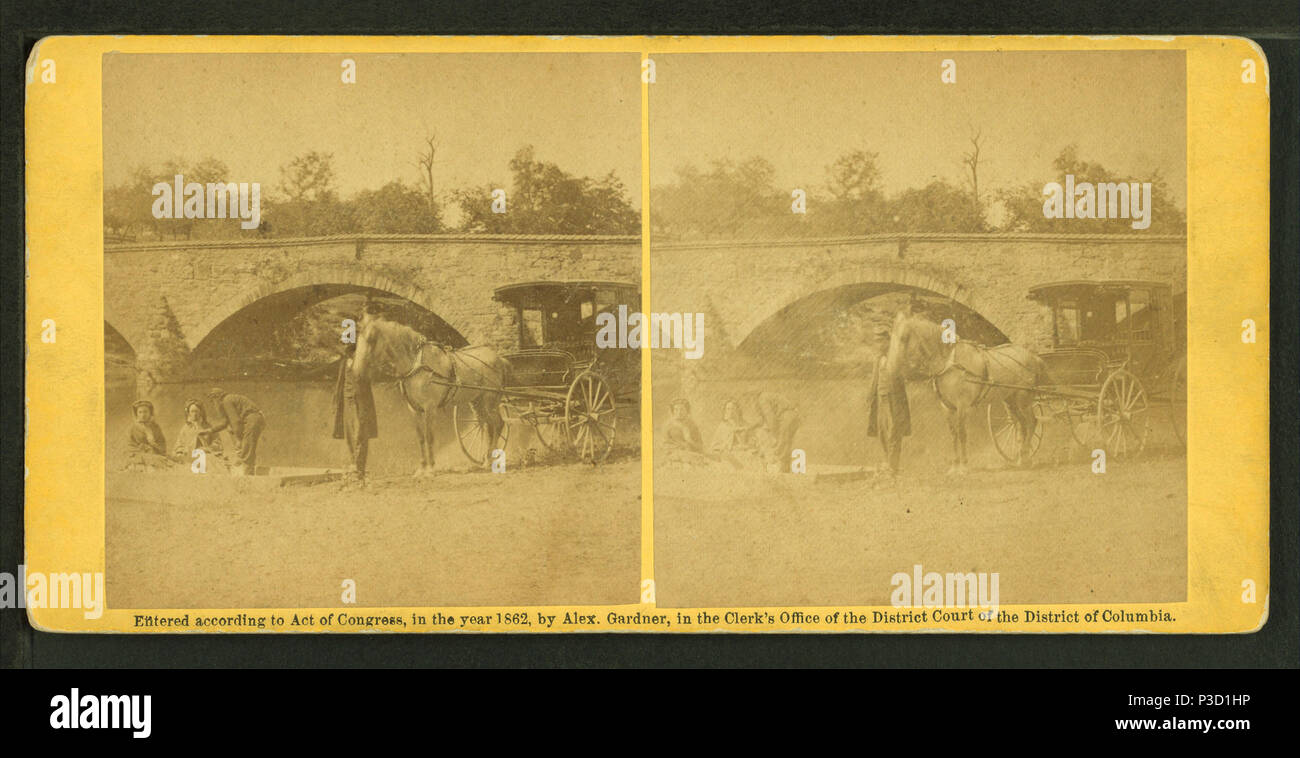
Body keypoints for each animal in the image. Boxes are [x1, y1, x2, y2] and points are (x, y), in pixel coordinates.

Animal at [353, 313, 509, 478]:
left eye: (371, 339)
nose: (356, 371)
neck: (417, 366)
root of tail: (499, 358)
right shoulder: (414, 410)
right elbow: (421, 437)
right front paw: (422, 467)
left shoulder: (430, 408)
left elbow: (429, 436)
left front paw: (431, 468)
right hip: (478, 402)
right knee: (488, 425)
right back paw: (486, 460)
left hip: (490, 400)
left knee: (498, 424)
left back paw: (490, 461)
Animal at [883, 312, 1045, 470]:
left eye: (903, 338)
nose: (890, 367)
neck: (950, 363)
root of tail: (1033, 356)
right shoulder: (947, 407)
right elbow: (953, 434)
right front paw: (955, 464)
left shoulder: (963, 405)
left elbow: (962, 433)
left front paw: (964, 465)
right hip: (1010, 400)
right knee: (1021, 424)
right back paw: (1022, 458)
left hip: (1023, 399)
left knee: (1031, 422)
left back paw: (1025, 456)